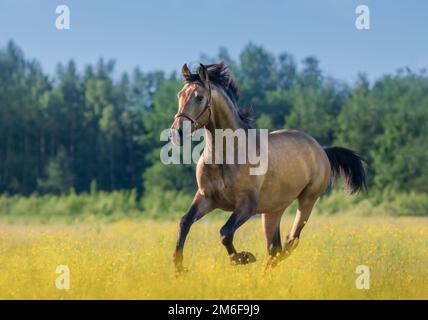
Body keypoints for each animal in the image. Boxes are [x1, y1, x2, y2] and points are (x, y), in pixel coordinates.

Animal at [169, 61, 366, 272]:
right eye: (180, 95)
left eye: (199, 97)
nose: (176, 133)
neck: (224, 156)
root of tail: (321, 149)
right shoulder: (206, 198)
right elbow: (184, 222)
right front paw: (179, 268)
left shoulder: (246, 205)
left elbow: (225, 232)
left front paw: (244, 257)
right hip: (273, 210)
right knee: (275, 248)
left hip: (307, 200)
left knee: (290, 241)